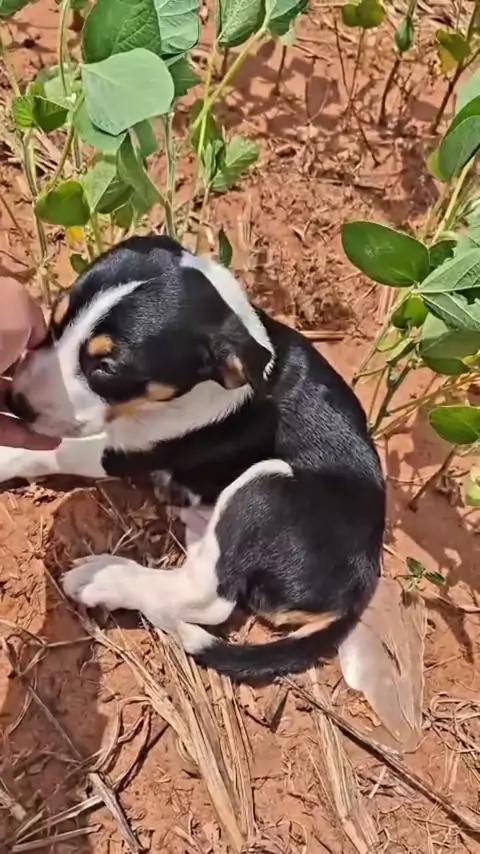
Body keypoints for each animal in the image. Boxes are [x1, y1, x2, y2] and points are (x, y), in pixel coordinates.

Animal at [1, 235, 386, 681]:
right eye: (56, 320)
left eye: (107, 368)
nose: (17, 401)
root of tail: (357, 590)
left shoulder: (126, 450)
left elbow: (60, 449)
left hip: (267, 486)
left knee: (208, 597)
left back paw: (106, 578)